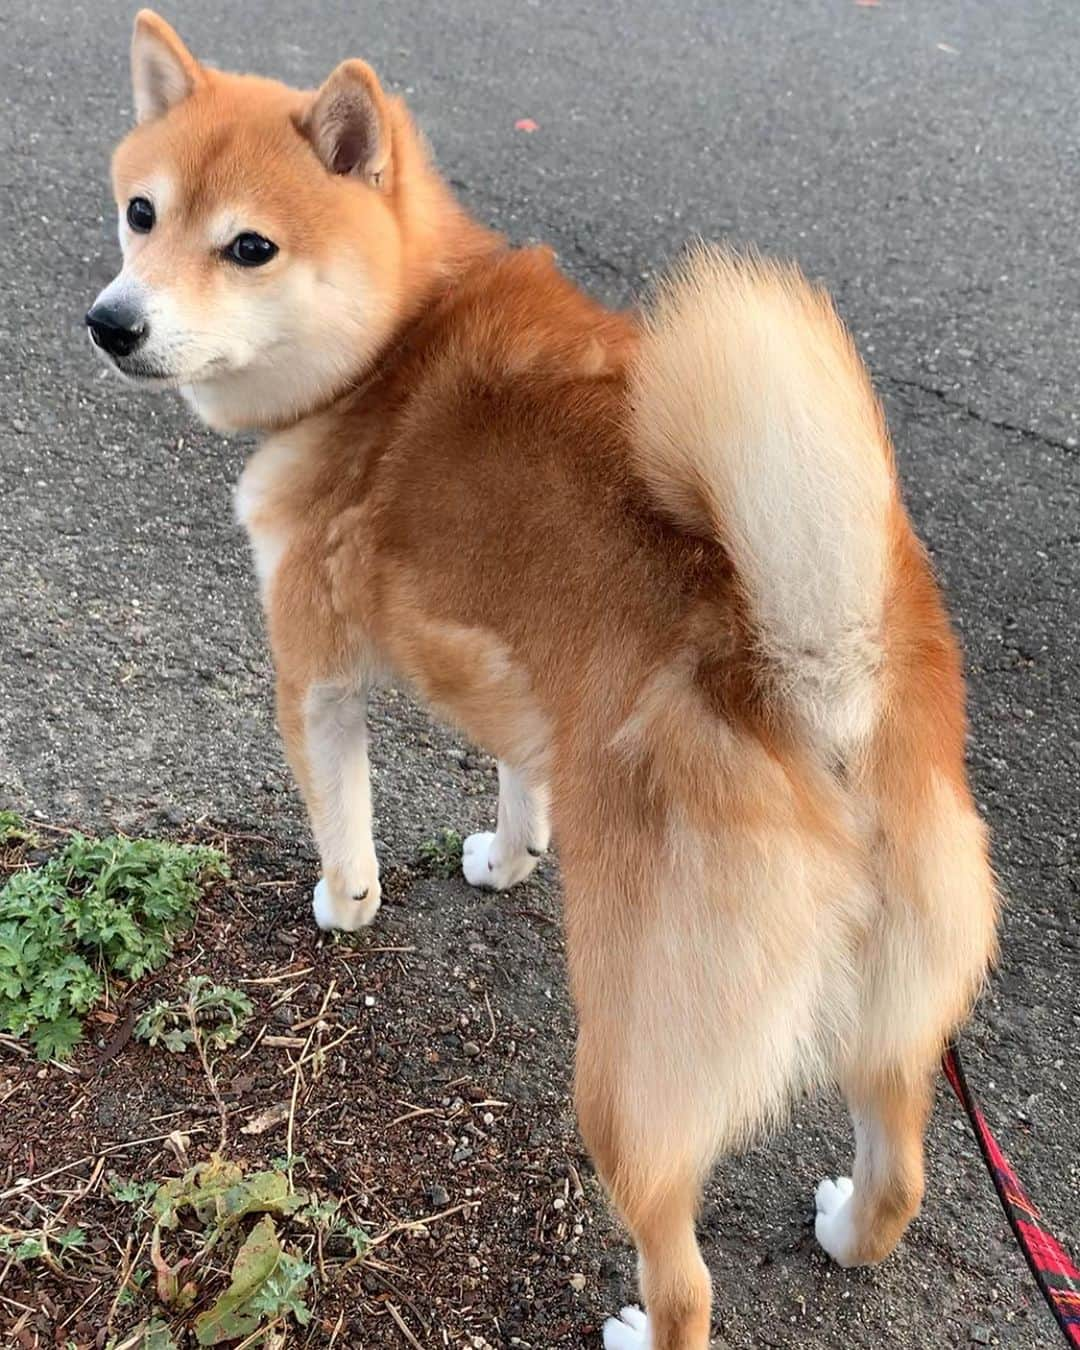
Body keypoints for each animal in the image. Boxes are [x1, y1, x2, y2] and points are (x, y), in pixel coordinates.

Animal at [88, 13, 999, 1350]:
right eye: (141, 213)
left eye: (248, 247)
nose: (112, 321)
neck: (393, 340)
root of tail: (824, 683)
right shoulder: (533, 681)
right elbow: (522, 776)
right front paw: (510, 858)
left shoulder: (314, 667)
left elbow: (341, 817)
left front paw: (345, 906)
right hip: (901, 1017)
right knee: (901, 1168)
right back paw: (846, 1227)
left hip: (629, 1068)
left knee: (685, 1278)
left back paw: (641, 1325)